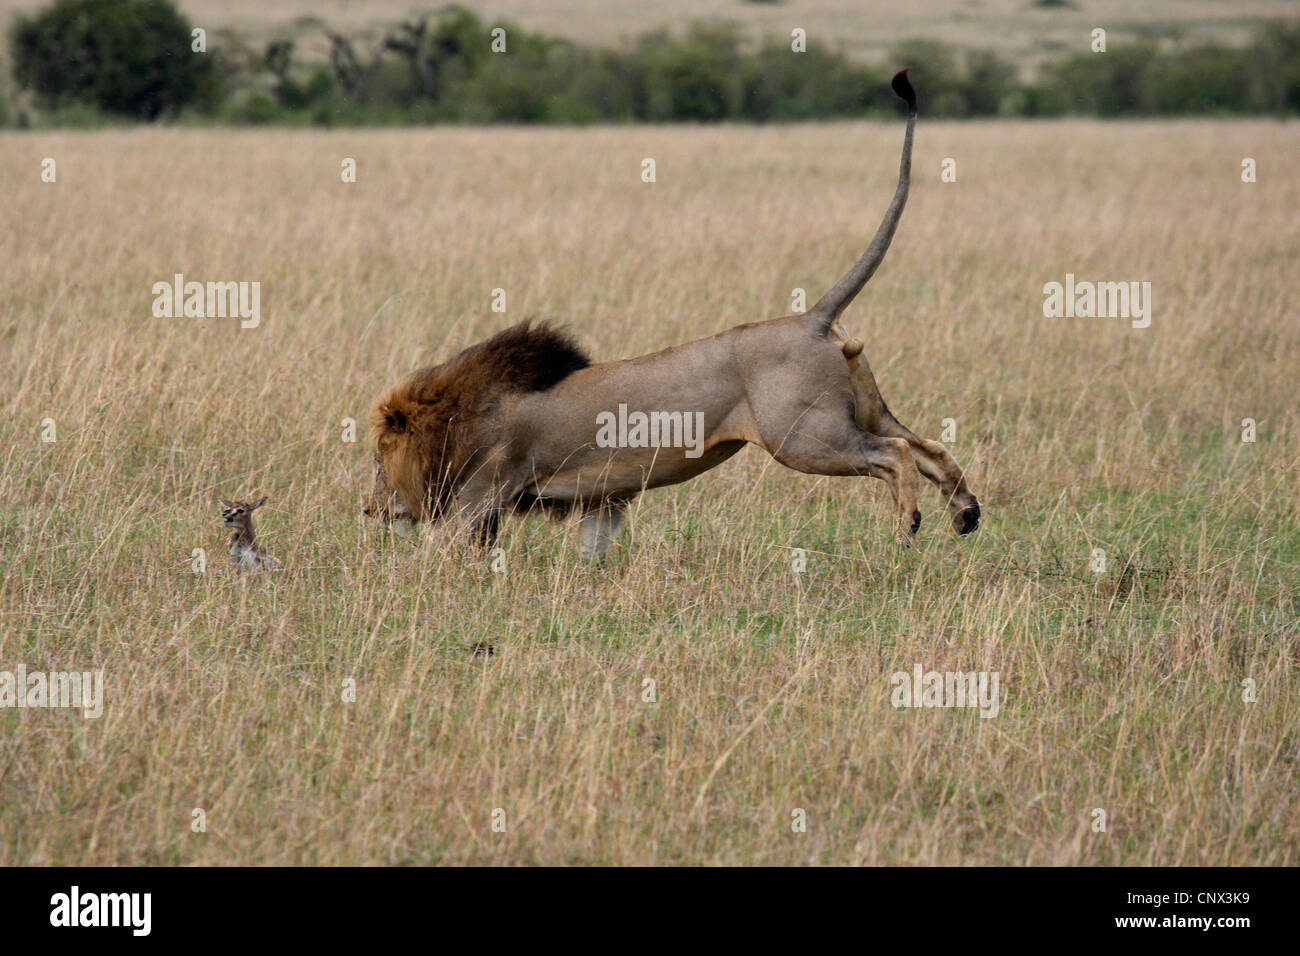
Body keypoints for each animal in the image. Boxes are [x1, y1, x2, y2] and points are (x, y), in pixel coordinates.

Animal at [365, 70, 980, 561]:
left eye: (378, 458)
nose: (369, 511)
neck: (462, 415)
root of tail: (812, 317)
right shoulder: (602, 499)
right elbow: (594, 551)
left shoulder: (482, 493)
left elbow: (441, 551)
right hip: (862, 409)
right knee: (928, 446)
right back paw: (965, 512)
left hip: (806, 436)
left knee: (895, 454)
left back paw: (908, 525)